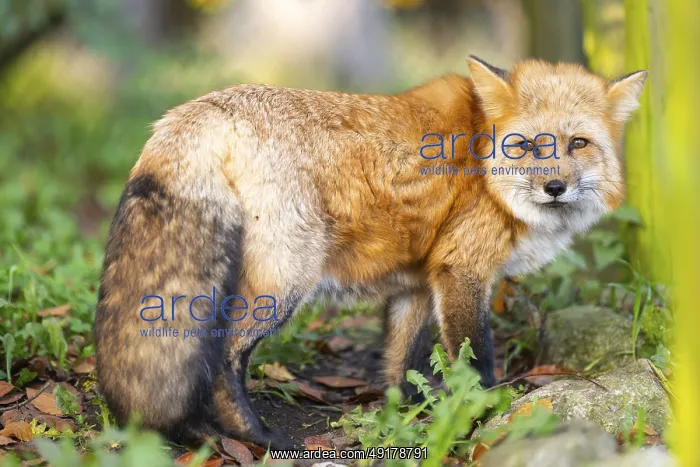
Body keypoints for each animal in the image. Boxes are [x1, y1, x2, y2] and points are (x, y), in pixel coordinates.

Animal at [94, 56, 646, 449]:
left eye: (578, 144)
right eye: (528, 146)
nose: (556, 187)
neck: (486, 169)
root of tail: (198, 109)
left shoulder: (419, 285)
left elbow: (402, 366)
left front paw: (412, 419)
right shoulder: (462, 270)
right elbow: (476, 361)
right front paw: (484, 413)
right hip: (284, 281)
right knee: (222, 358)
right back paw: (249, 436)